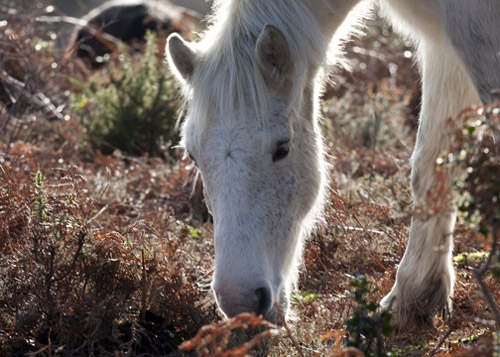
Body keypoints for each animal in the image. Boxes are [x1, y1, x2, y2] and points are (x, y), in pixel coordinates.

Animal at [167, 0, 500, 328]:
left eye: (282, 148)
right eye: (193, 156)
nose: (240, 301)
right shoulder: (440, 42)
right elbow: (432, 164)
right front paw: (413, 298)